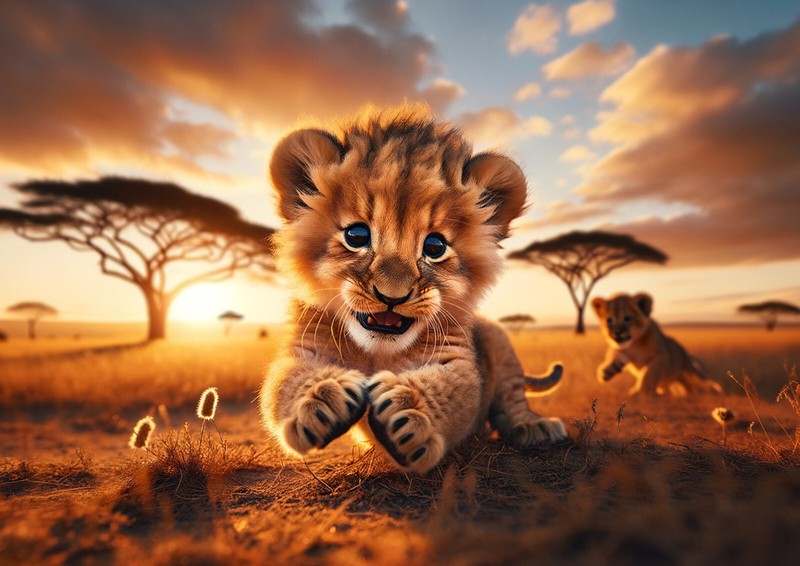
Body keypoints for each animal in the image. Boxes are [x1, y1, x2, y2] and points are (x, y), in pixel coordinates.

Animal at [259, 105, 567, 473]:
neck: (378, 351)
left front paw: (405, 412)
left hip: (500, 343)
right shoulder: (306, 345)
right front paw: (323, 400)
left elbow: (451, 389)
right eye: (356, 236)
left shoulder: (457, 359)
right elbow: (284, 381)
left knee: (513, 400)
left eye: (435, 246)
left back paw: (536, 427)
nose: (392, 297)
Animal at [591, 292, 722, 396]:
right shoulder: (621, 350)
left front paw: (640, 393)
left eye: (627, 318)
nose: (617, 333)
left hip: (689, 369)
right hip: (678, 379)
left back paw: (717, 389)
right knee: (686, 387)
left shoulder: (661, 356)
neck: (634, 343)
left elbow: (649, 375)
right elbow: (614, 357)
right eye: (609, 320)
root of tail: (684, 352)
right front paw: (604, 372)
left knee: (702, 379)